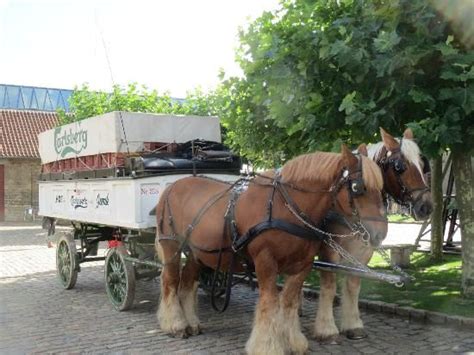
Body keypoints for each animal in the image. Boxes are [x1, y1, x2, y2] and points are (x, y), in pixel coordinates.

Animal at [157, 145, 386, 355]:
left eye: (381, 187)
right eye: (357, 187)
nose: (380, 234)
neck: (284, 207)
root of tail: (172, 186)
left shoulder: (302, 265)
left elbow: (289, 302)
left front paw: (293, 342)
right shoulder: (265, 261)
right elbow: (270, 302)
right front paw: (267, 346)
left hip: (198, 253)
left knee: (187, 282)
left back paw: (191, 322)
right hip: (171, 245)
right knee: (170, 281)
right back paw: (176, 324)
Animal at [314, 128, 434, 342]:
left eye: (422, 165)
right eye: (399, 167)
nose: (426, 207)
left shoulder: (363, 251)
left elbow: (353, 285)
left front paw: (353, 325)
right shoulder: (329, 252)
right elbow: (329, 287)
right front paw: (327, 329)